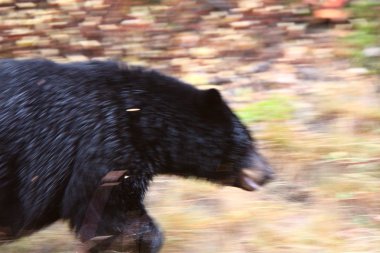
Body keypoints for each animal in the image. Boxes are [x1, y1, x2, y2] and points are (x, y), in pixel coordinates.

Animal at [0, 58, 274, 251]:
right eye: (247, 140)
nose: (269, 173)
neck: (143, 120)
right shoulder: (106, 145)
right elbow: (108, 207)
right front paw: (144, 241)